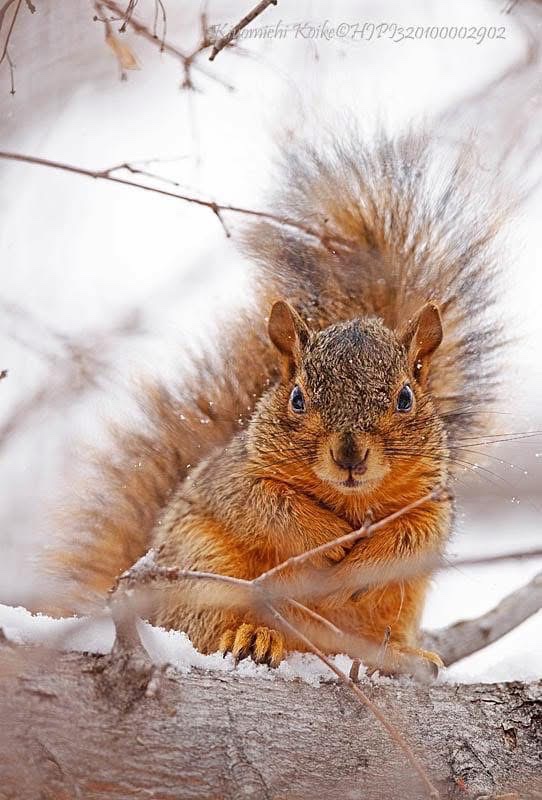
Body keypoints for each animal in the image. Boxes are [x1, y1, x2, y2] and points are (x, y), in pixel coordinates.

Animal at [49, 130, 504, 676]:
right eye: (297, 398)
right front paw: (325, 540)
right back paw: (253, 636)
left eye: (405, 397)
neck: (351, 501)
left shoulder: (432, 502)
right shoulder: (235, 477)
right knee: (204, 629)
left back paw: (399, 656)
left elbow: (415, 538)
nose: (349, 454)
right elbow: (268, 505)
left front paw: (361, 562)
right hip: (201, 568)